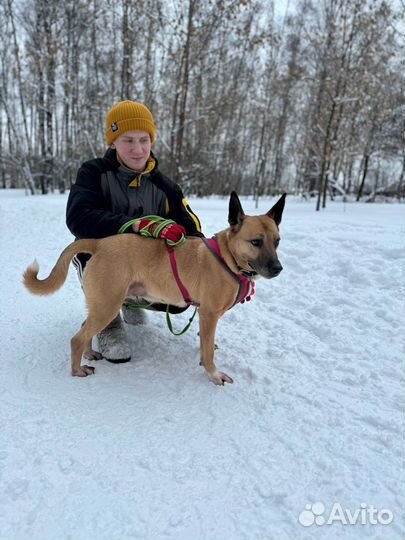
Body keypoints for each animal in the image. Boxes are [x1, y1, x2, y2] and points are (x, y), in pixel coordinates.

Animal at [23, 192, 286, 386]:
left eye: (277, 241)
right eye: (256, 242)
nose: (278, 269)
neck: (227, 258)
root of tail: (100, 243)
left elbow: (207, 345)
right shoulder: (209, 314)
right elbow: (208, 353)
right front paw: (213, 373)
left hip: (101, 305)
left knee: (84, 329)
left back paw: (88, 354)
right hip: (108, 305)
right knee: (77, 338)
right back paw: (77, 369)